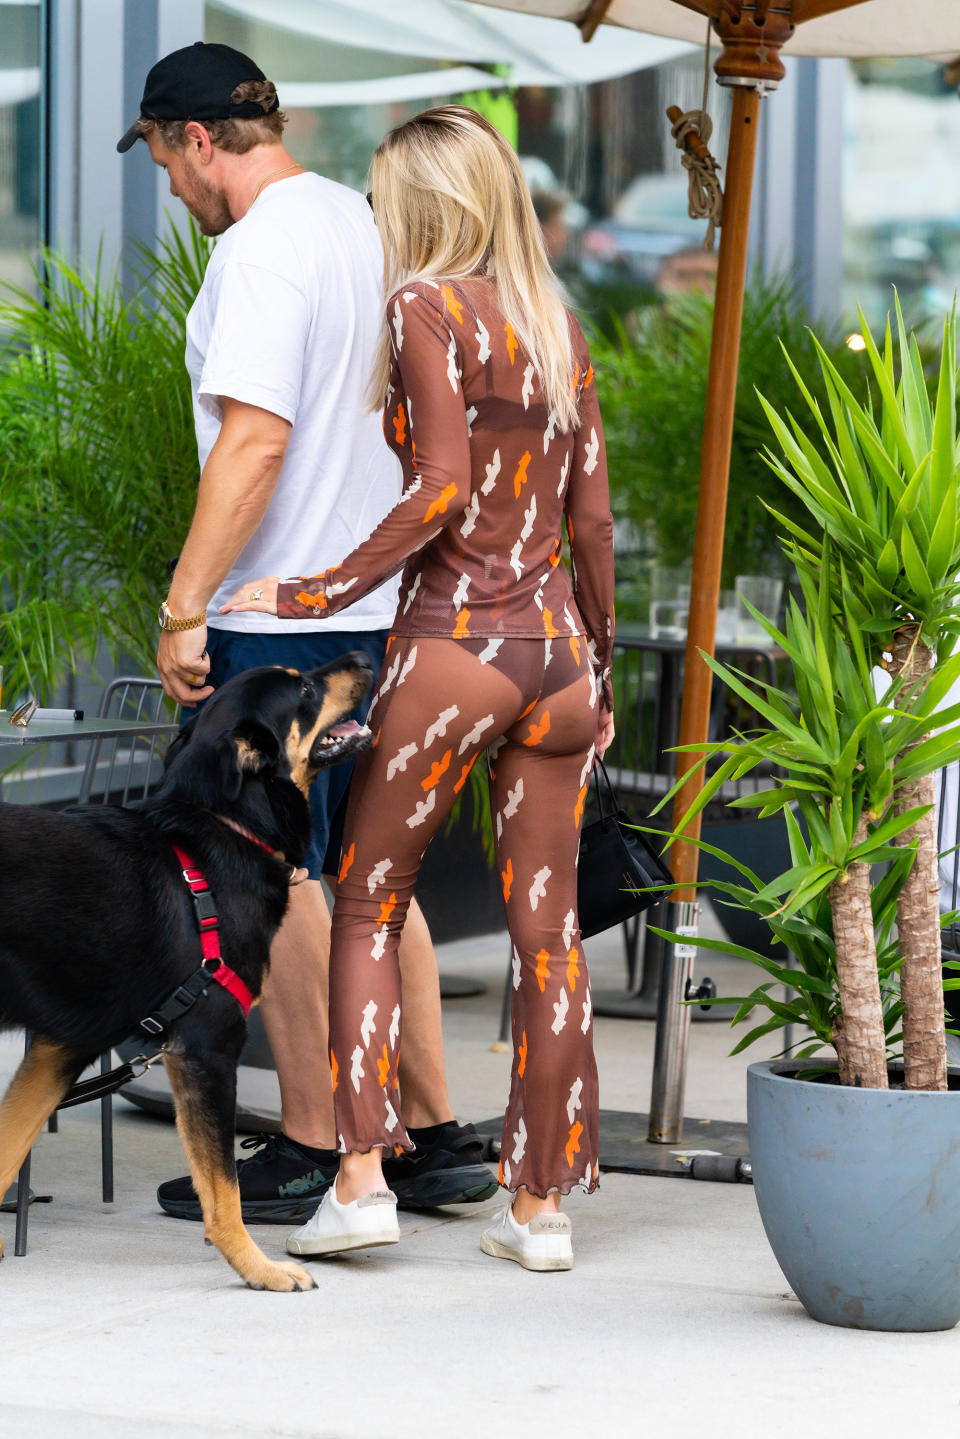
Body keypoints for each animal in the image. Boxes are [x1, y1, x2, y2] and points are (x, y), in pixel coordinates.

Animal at [0, 653, 374, 1295]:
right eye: (303, 687)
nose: (364, 657)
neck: (225, 827)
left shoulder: (56, 1052)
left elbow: (6, 1146)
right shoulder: (206, 1049)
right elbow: (223, 1190)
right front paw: (259, 1269)